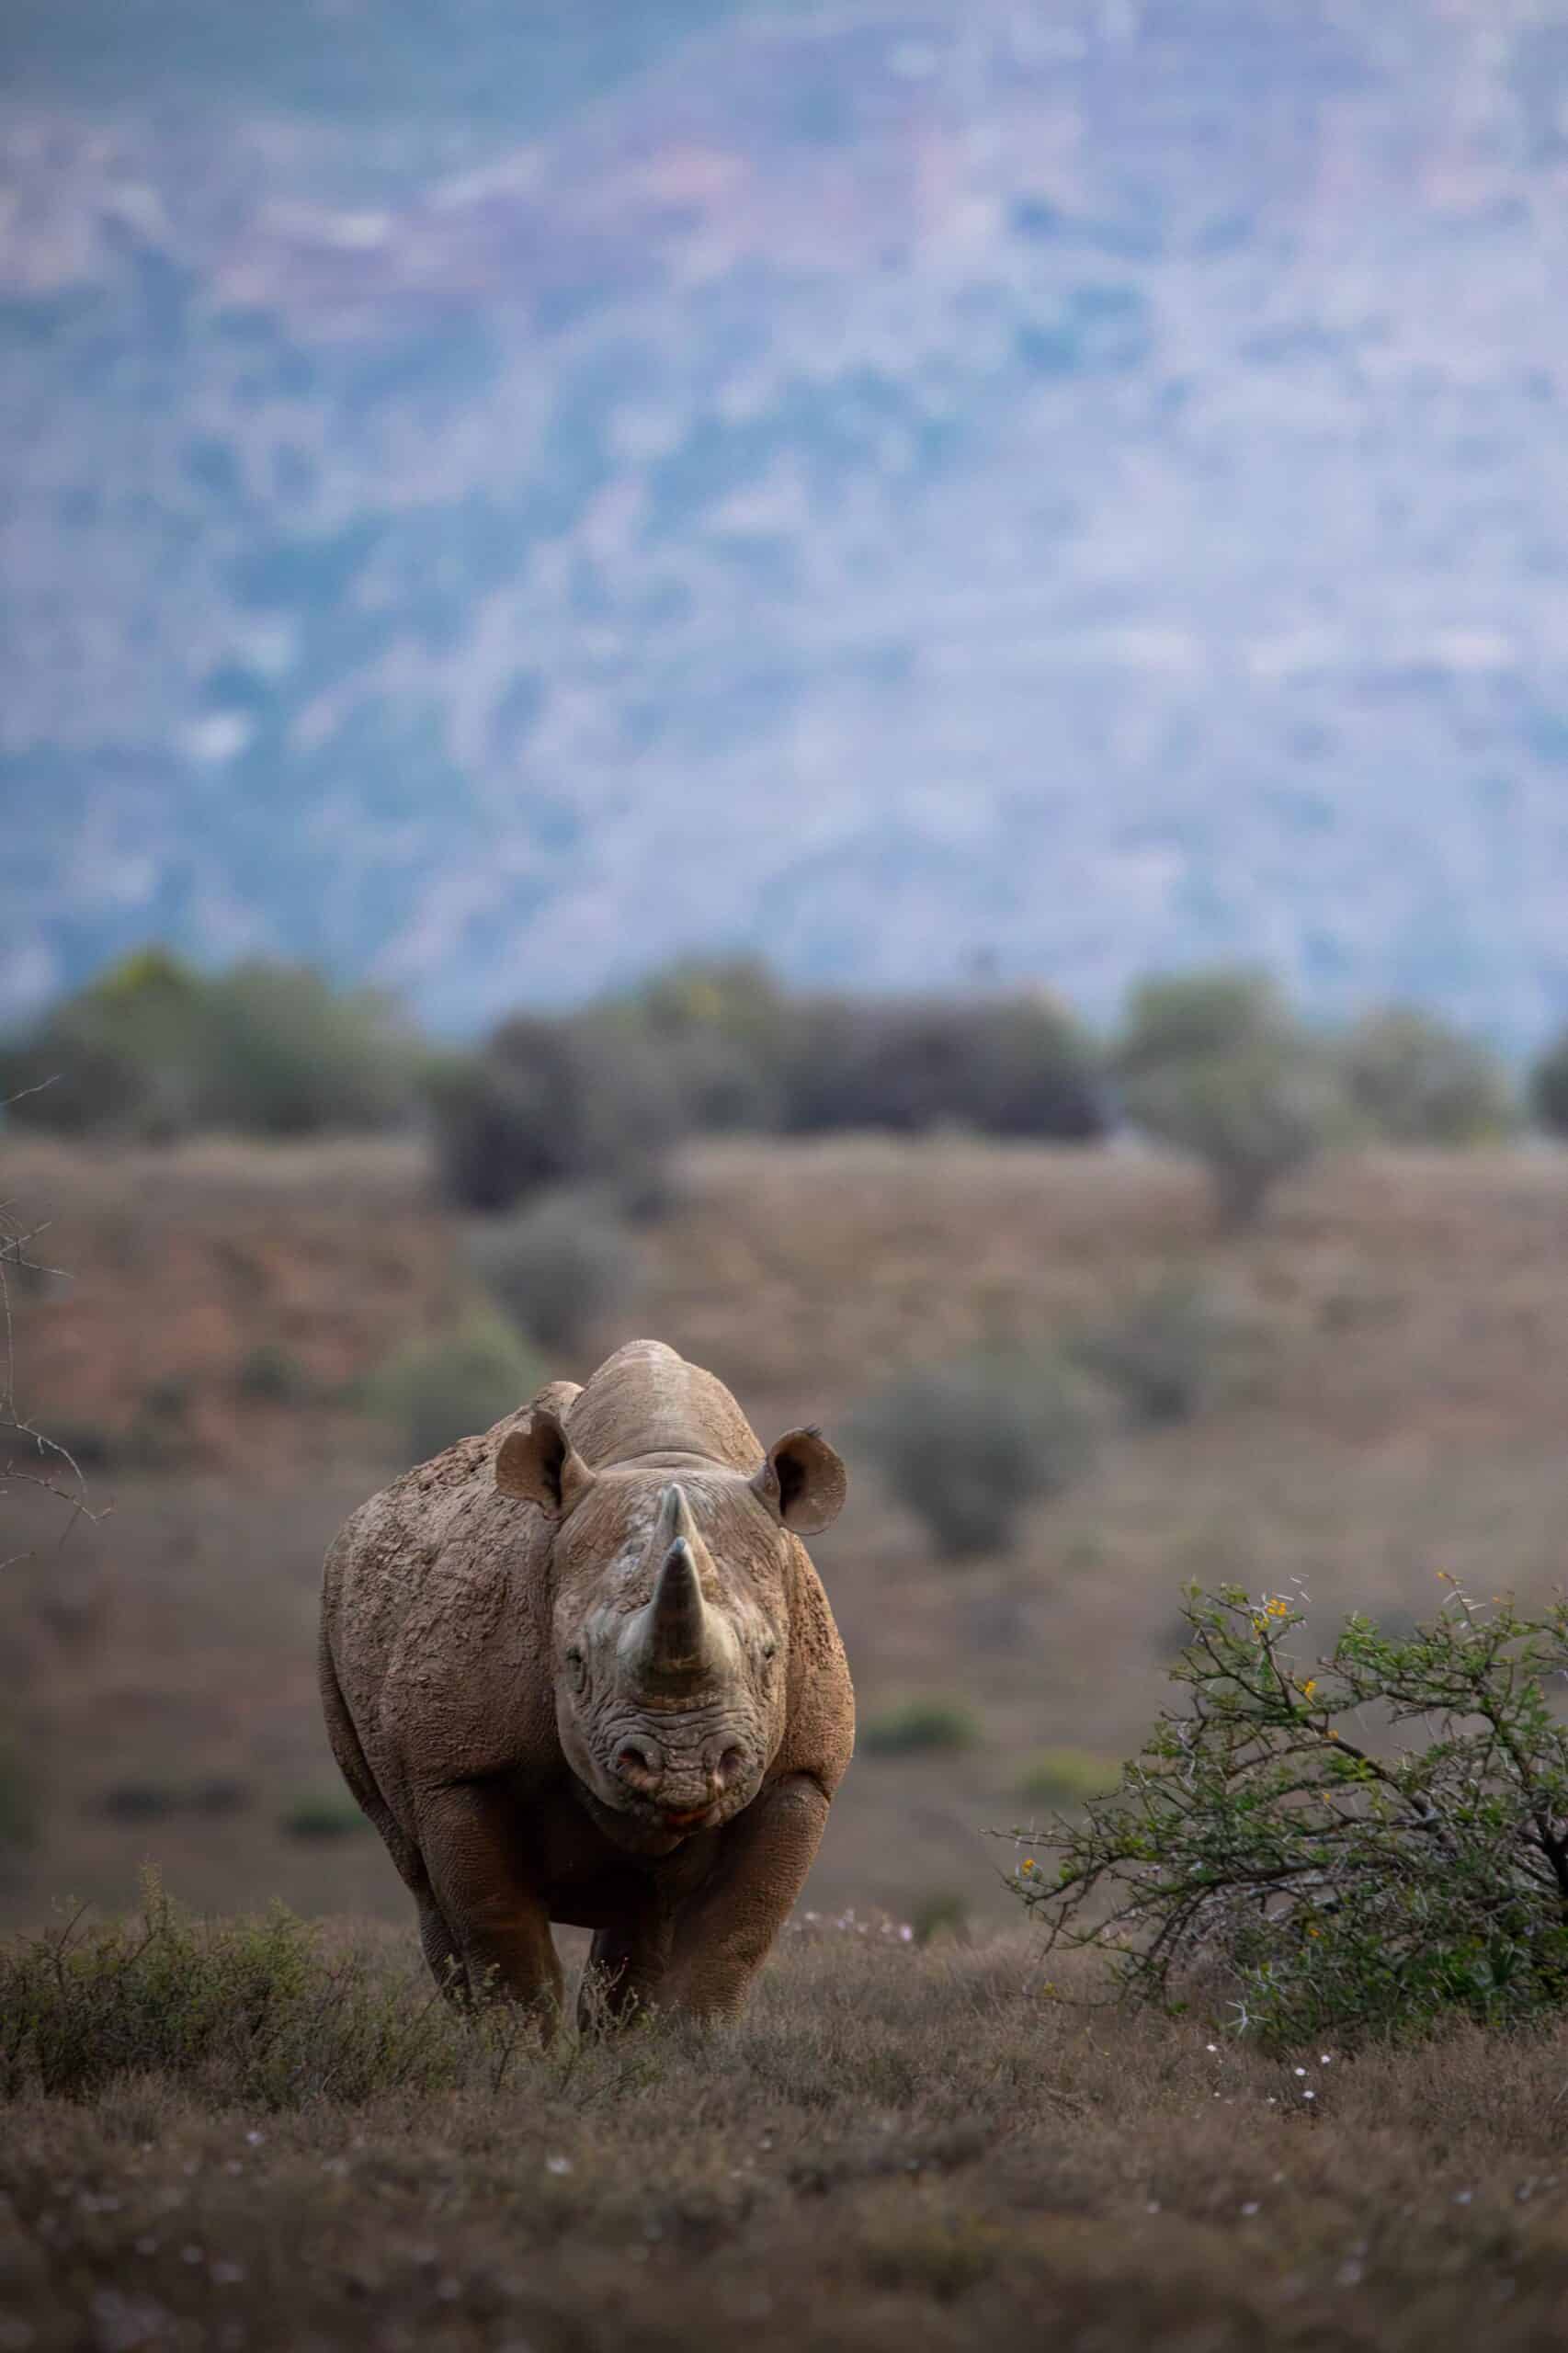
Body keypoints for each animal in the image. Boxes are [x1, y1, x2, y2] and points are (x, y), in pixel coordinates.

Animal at [319, 1338, 853, 2024]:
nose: (683, 1766)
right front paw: (516, 2050)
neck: (663, 1455)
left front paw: (681, 2048)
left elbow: (726, 1952)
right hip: (333, 1611)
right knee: (417, 1875)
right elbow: (505, 1949)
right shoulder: (457, 1772)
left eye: (769, 1655)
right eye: (572, 1660)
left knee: (644, 1916)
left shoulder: (802, 1775)